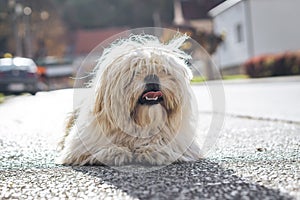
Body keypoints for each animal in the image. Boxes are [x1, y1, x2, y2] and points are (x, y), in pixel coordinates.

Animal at [56, 34, 202, 166]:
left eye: (163, 70)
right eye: (135, 72)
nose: (152, 77)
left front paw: (153, 149)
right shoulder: (82, 145)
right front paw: (115, 151)